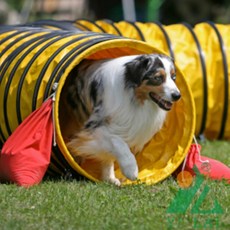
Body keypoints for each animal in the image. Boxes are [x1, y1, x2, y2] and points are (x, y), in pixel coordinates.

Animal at [59, 54, 181, 185]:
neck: (134, 98)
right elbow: (118, 142)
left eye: (173, 77)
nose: (177, 95)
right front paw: (131, 169)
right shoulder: (94, 127)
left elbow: (108, 155)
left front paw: (109, 178)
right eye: (158, 77)